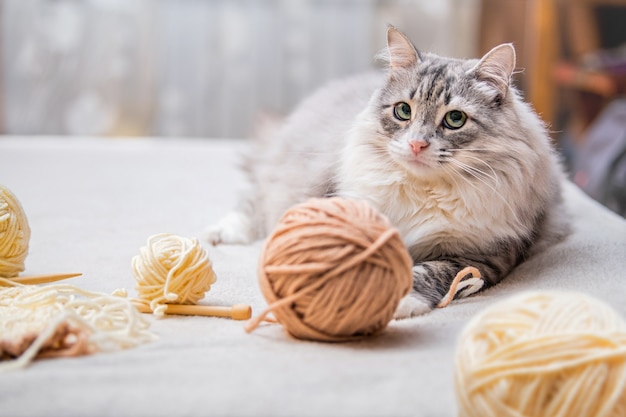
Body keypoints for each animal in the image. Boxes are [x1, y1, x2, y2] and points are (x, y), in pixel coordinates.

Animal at [206, 26, 564, 316]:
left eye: (455, 119)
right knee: (255, 200)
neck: (424, 191)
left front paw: (400, 301)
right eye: (403, 111)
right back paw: (222, 233)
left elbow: (430, 273)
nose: (417, 144)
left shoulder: (482, 256)